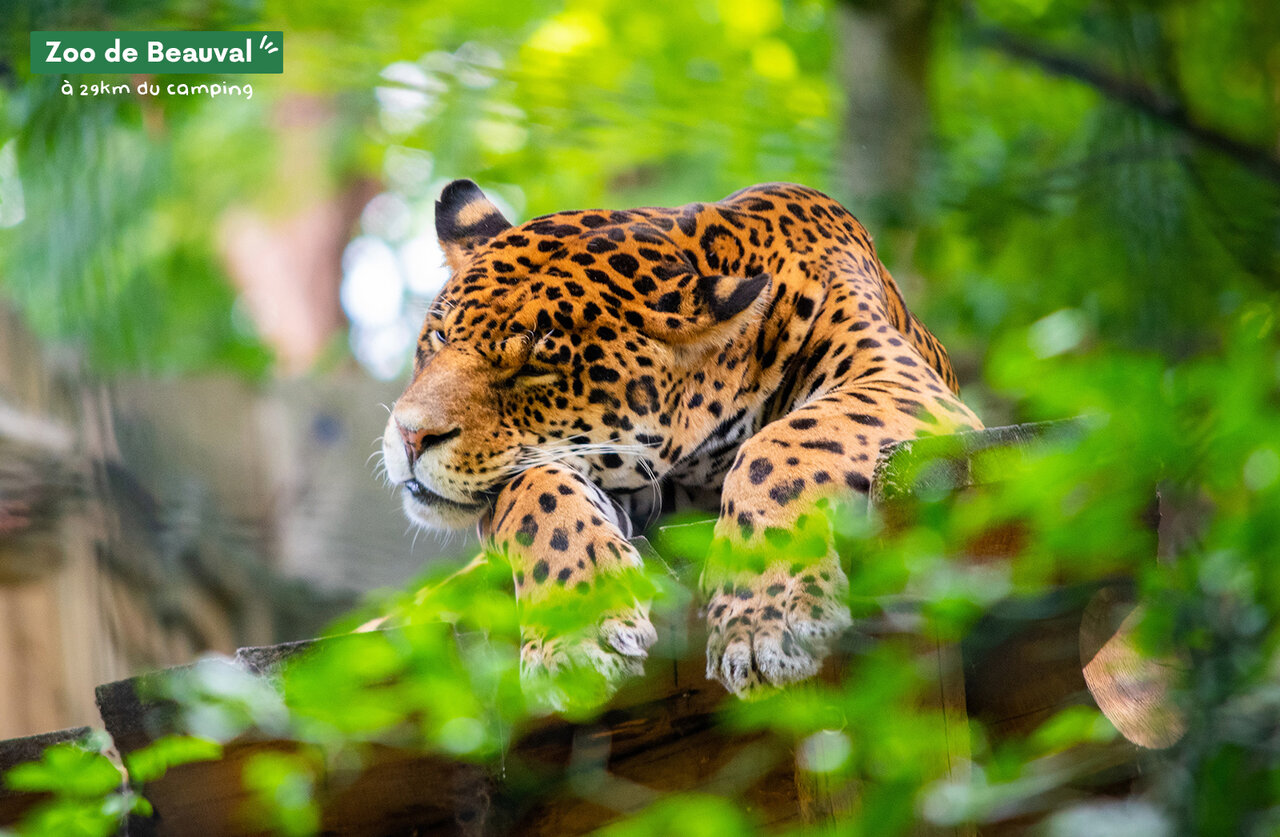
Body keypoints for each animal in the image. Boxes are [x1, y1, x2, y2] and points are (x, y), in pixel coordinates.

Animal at [380, 179, 983, 698]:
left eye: (535, 367)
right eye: (439, 336)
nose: (410, 436)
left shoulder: (897, 382)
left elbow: (784, 443)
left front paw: (764, 617)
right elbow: (533, 489)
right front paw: (576, 633)